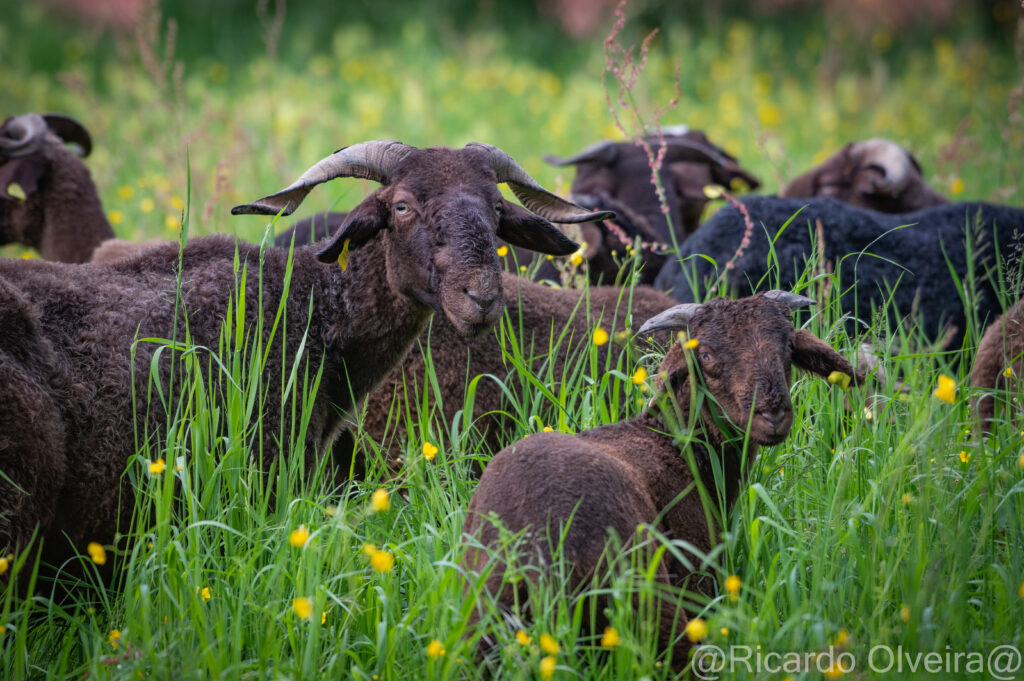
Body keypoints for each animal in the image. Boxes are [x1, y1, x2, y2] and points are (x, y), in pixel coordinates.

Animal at [464, 288, 864, 667]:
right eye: (706, 356)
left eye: (787, 347)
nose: (772, 414)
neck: (676, 445)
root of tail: (538, 553)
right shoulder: (700, 574)